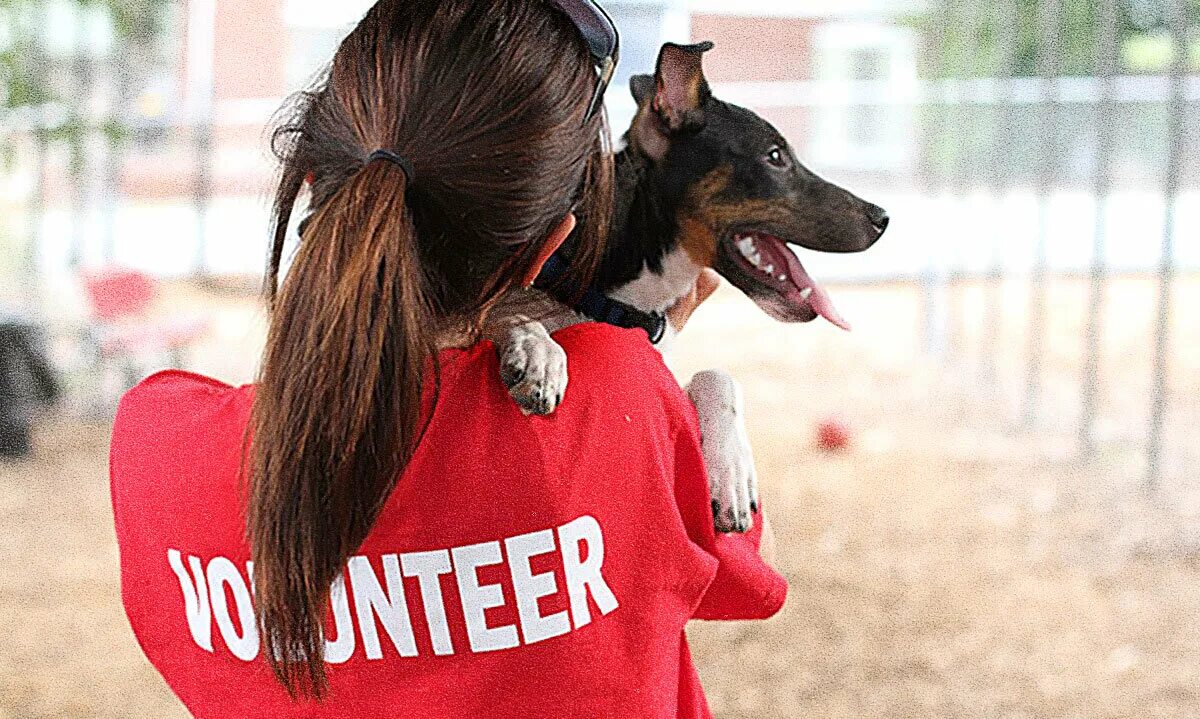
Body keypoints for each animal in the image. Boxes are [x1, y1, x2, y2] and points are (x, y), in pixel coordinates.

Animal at [482, 40, 888, 535]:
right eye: (774, 156)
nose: (883, 218)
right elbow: (512, 314)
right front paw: (539, 354)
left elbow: (718, 376)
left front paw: (731, 475)